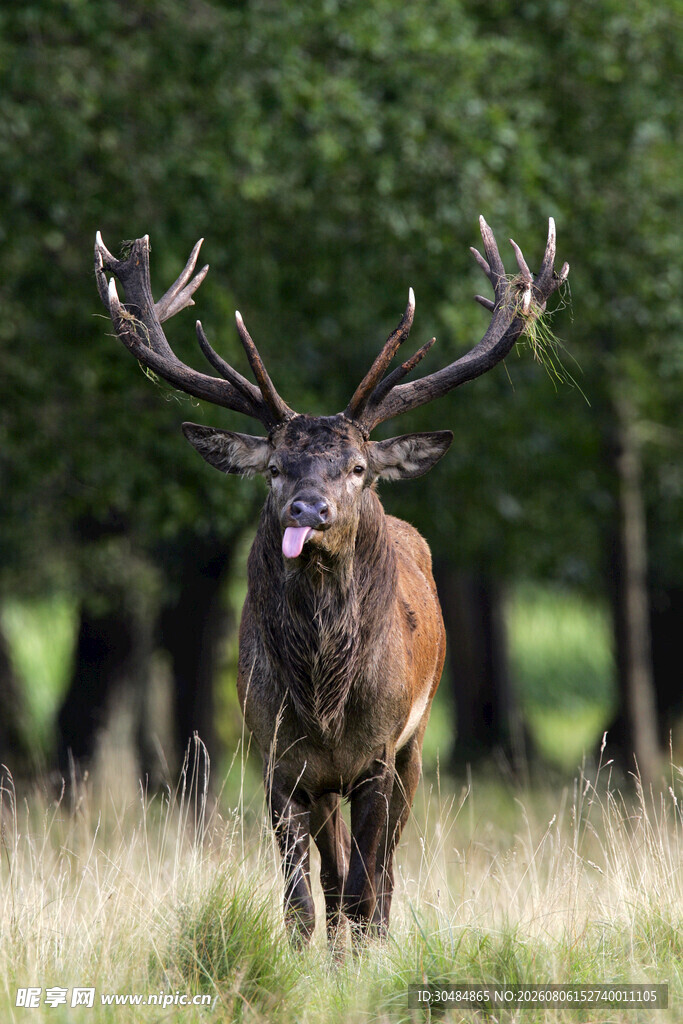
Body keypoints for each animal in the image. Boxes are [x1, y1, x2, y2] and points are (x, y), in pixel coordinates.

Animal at [94, 218, 568, 947]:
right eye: (273, 468)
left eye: (357, 468)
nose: (308, 511)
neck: (324, 701)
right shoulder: (278, 763)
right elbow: (303, 901)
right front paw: (308, 958)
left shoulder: (378, 756)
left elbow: (368, 889)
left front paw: (365, 955)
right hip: (325, 785)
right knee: (335, 872)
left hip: (416, 747)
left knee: (382, 875)